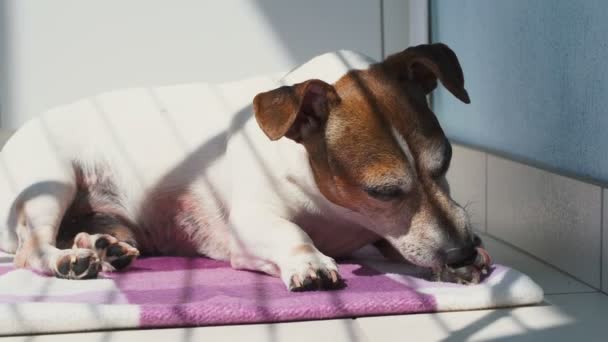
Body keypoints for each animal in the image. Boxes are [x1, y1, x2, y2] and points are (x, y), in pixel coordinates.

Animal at [0, 42, 490, 288]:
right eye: (382, 191)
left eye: (446, 161)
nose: (461, 252)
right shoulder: (253, 224)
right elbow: (292, 234)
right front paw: (310, 261)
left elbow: (408, 243)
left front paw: (466, 261)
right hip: (51, 183)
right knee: (32, 249)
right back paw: (70, 260)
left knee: (84, 233)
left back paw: (103, 247)